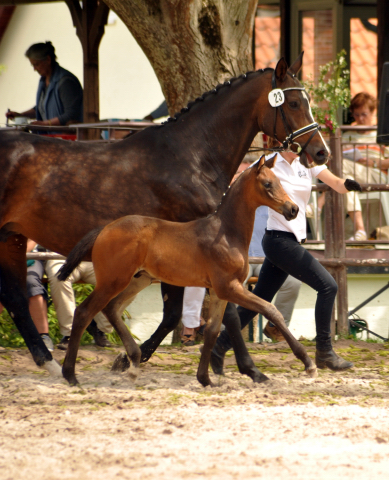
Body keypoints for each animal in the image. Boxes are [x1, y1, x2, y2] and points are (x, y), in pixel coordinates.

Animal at [59, 156, 316, 388]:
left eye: (279, 181)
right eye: (268, 184)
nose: (293, 209)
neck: (226, 232)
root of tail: (104, 229)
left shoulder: (220, 291)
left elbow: (212, 331)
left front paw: (205, 379)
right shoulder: (229, 287)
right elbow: (270, 309)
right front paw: (308, 363)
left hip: (138, 280)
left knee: (112, 309)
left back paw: (132, 362)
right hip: (113, 281)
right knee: (84, 312)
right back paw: (70, 374)